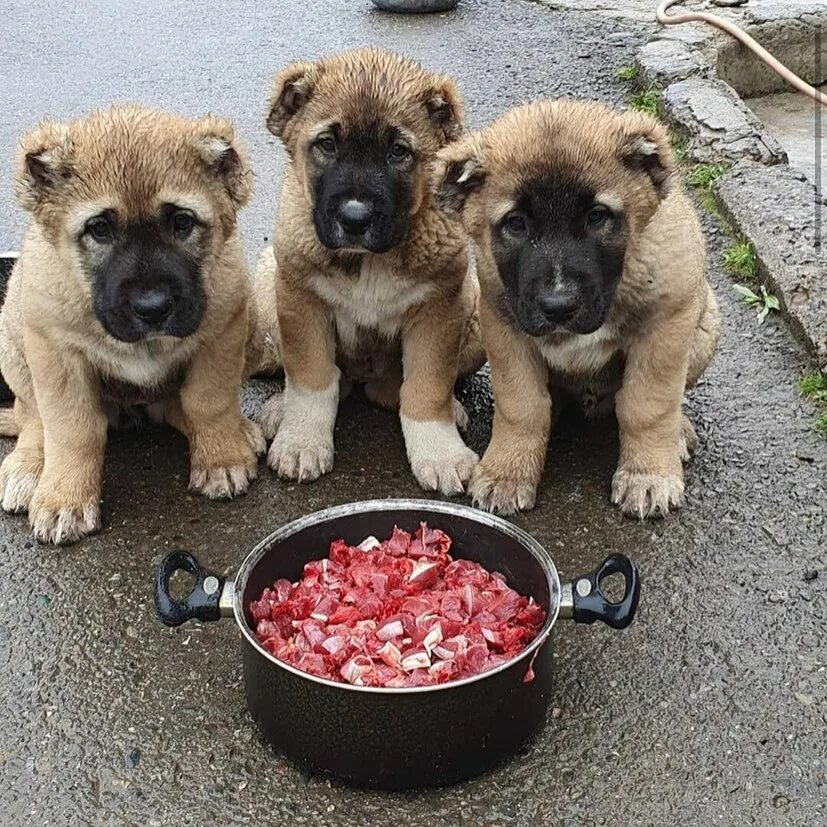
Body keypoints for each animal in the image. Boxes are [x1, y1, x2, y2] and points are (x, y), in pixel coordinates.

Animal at [0, 105, 266, 544]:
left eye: (181, 222)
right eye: (100, 228)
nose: (152, 308)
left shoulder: (222, 331)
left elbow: (208, 401)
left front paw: (220, 456)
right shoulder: (55, 349)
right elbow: (70, 429)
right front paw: (65, 499)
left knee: (178, 405)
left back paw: (238, 430)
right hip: (15, 335)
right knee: (31, 416)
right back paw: (29, 467)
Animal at [252, 48, 486, 494]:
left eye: (398, 152)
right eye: (327, 144)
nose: (355, 218)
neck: (368, 260)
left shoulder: (441, 306)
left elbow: (427, 387)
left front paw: (440, 452)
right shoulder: (299, 298)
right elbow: (311, 377)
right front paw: (302, 439)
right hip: (266, 286)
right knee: (331, 378)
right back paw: (281, 408)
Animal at [434, 98, 720, 516]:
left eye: (597, 217)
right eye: (516, 223)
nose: (558, 307)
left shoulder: (665, 325)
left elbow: (647, 406)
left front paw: (647, 474)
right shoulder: (504, 327)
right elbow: (521, 406)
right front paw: (508, 471)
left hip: (705, 324)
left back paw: (677, 432)